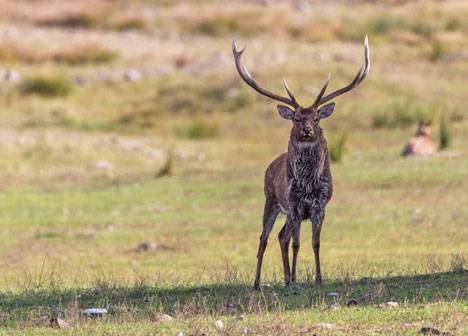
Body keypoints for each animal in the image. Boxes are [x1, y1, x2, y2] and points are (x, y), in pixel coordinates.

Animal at [232, 35, 372, 290]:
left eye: (316, 118)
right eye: (296, 118)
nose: (307, 130)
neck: (307, 185)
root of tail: (270, 164)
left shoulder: (319, 206)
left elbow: (315, 243)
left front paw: (317, 279)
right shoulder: (295, 205)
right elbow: (297, 243)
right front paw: (297, 279)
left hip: (286, 212)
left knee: (281, 236)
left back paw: (287, 278)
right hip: (272, 201)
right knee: (264, 238)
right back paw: (258, 282)